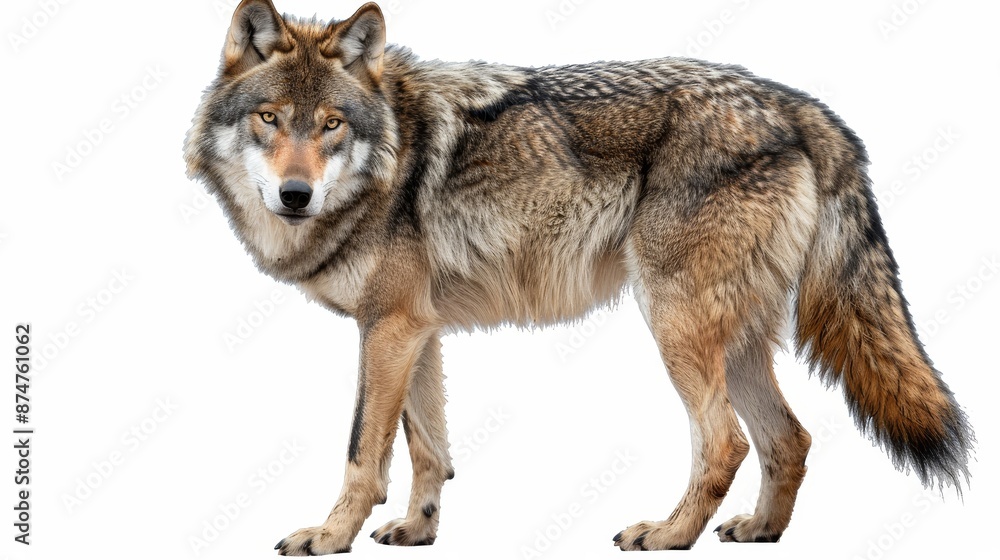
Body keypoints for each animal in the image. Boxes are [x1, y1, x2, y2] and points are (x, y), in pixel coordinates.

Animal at [184, 0, 973, 554]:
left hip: (674, 323)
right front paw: (418, 531)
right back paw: (760, 531)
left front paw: (327, 537)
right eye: (269, 119)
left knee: (726, 442)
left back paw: (668, 535)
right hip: (734, 340)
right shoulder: (414, 330)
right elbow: (427, 448)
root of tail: (795, 102)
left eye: (330, 125)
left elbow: (361, 453)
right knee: (792, 440)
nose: (295, 195)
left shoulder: (389, 329)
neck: (388, 156)